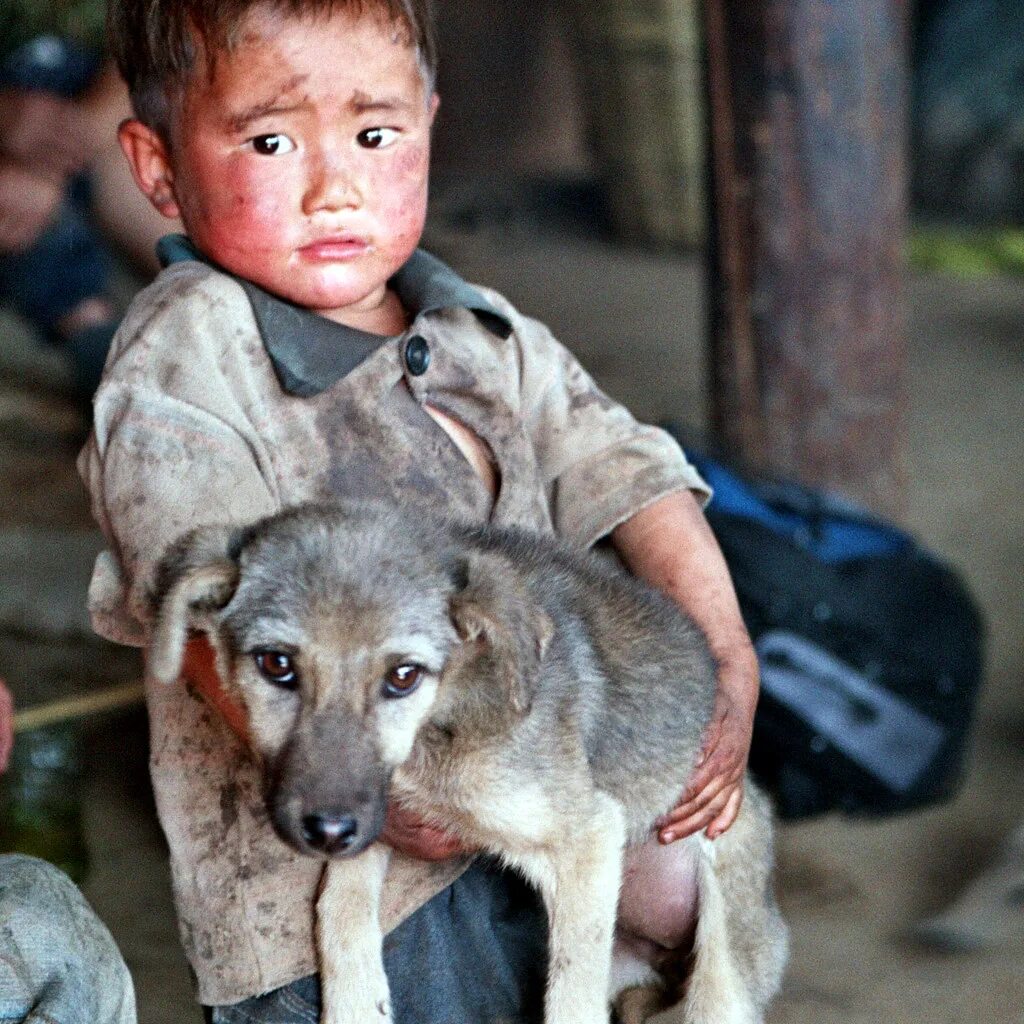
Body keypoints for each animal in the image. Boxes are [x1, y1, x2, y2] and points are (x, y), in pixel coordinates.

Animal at [151, 501, 786, 1024]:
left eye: (403, 676)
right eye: (276, 665)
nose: (326, 832)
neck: (440, 723)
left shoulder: (588, 833)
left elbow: (571, 994)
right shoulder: (371, 813)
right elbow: (338, 911)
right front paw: (357, 1002)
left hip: (723, 961)